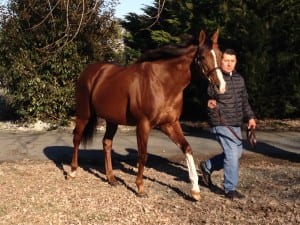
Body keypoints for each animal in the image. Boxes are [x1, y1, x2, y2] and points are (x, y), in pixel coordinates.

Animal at [69, 29, 225, 200]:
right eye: (202, 57)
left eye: (220, 54)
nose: (221, 86)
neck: (162, 83)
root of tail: (90, 71)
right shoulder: (144, 124)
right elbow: (143, 155)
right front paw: (140, 188)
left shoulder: (170, 123)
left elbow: (187, 148)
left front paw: (195, 190)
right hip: (84, 114)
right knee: (77, 138)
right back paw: (72, 172)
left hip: (112, 120)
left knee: (107, 143)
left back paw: (111, 178)